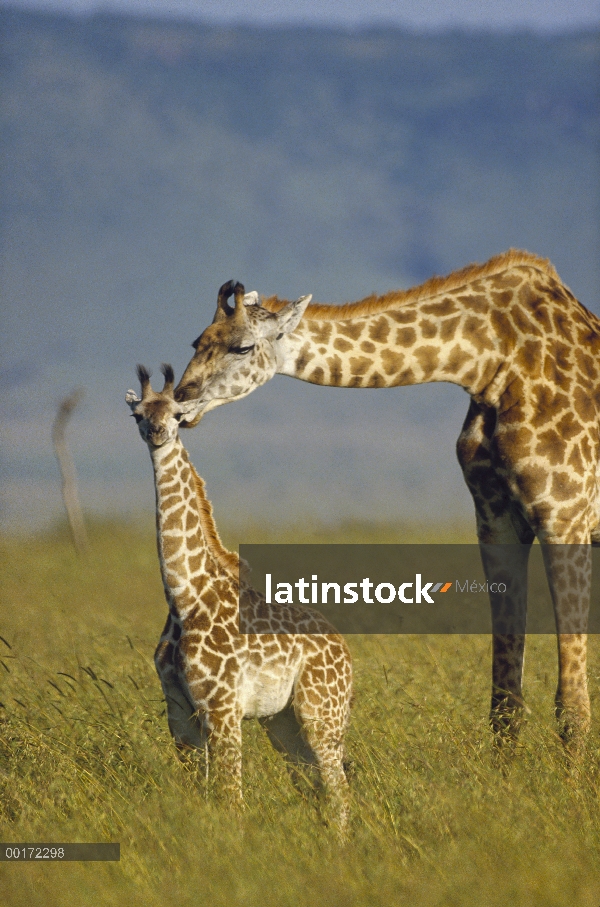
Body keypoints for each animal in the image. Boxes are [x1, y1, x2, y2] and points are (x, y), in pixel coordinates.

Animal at [126, 364, 352, 828]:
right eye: (137, 414)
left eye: (177, 414)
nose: (156, 432)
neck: (184, 596)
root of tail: (345, 651)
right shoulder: (180, 711)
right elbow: (202, 796)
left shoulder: (222, 707)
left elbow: (232, 799)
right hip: (282, 722)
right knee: (315, 789)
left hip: (321, 712)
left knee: (339, 793)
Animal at [175, 250, 600, 744]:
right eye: (196, 342)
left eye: (241, 347)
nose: (180, 401)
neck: (490, 362)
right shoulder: (496, 522)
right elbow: (505, 701)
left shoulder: (564, 515)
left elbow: (572, 705)